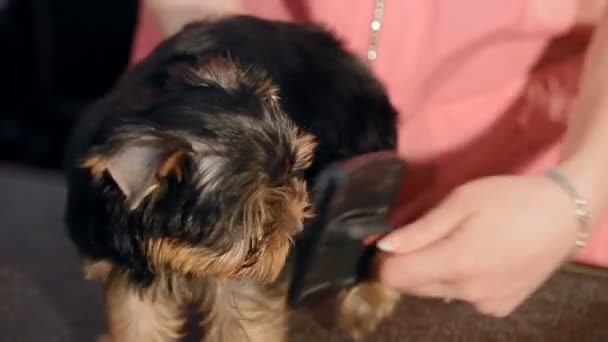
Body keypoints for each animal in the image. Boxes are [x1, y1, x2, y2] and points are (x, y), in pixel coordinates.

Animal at [64, 15, 400, 342]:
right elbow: (137, 318)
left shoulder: (243, 278)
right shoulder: (120, 261)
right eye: (260, 218)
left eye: (293, 172)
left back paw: (368, 298)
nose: (295, 222)